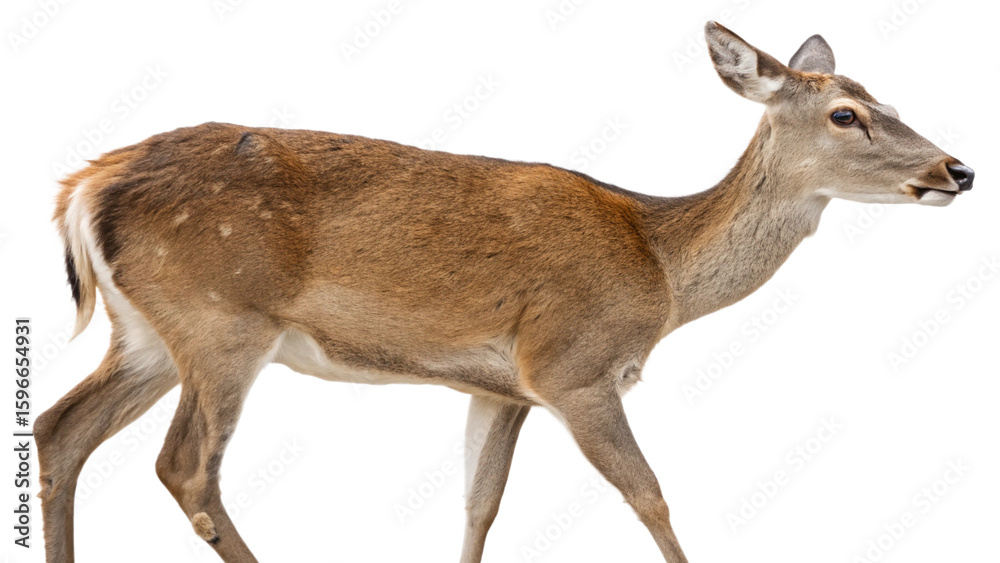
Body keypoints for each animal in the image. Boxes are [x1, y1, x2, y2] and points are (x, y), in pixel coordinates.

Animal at [35, 21, 973, 563]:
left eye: (889, 99)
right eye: (846, 114)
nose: (956, 169)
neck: (659, 269)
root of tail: (82, 185)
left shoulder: (499, 386)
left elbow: (478, 507)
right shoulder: (572, 364)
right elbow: (650, 492)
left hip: (147, 333)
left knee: (59, 430)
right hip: (222, 320)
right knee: (185, 466)